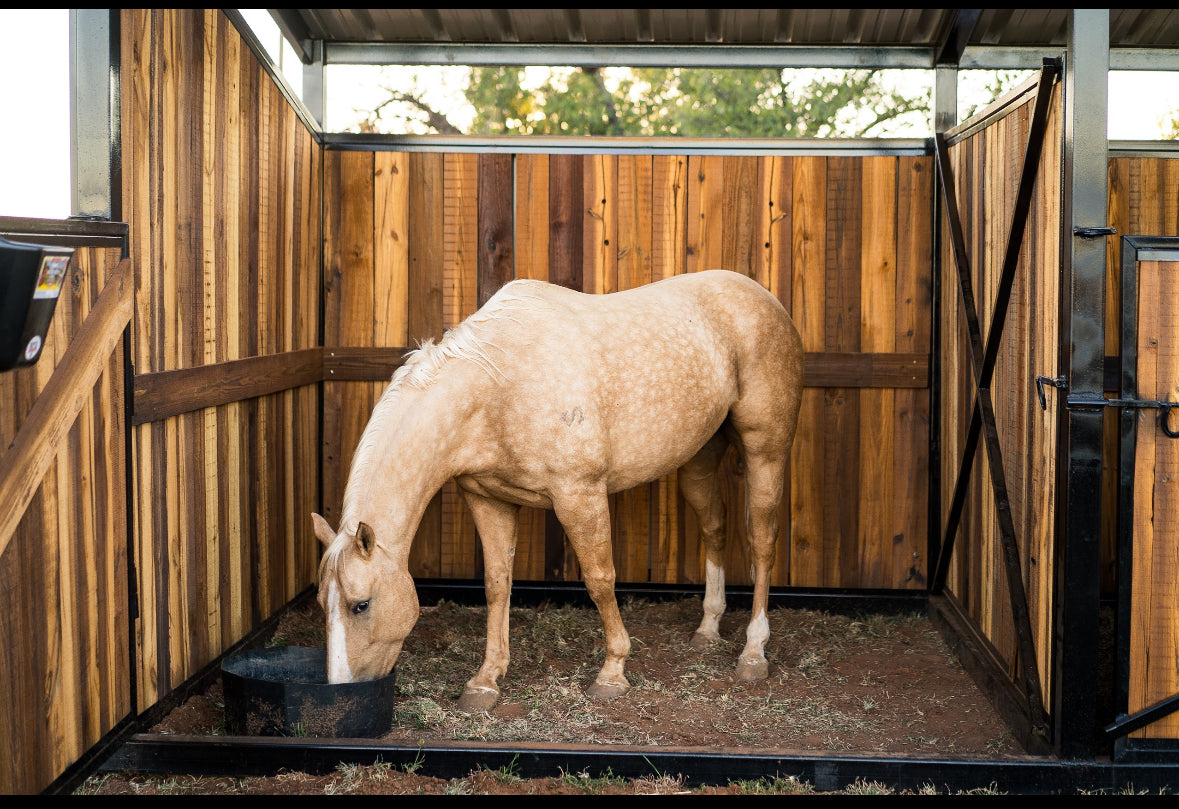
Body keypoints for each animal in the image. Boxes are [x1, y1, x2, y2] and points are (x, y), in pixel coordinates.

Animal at [312, 269, 804, 713]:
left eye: (360, 605)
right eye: (322, 603)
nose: (343, 692)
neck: (497, 386)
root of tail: (765, 298)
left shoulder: (579, 495)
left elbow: (600, 580)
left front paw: (612, 672)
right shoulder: (488, 499)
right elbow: (497, 584)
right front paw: (486, 680)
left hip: (765, 450)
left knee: (761, 541)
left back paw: (753, 653)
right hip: (701, 456)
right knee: (714, 527)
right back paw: (707, 628)